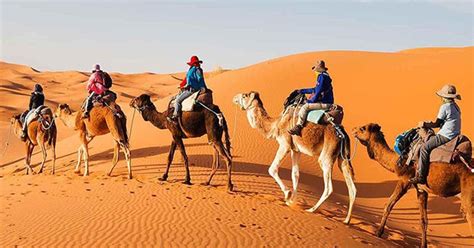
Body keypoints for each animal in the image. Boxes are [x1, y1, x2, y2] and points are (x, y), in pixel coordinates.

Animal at [233, 92, 356, 224]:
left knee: (329, 187)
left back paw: (311, 209)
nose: (234, 98)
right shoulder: (296, 150)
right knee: (352, 188)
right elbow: (295, 174)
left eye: (244, 95)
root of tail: (343, 134)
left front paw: (287, 195)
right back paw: (346, 220)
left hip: (327, 155)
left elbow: (272, 169)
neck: (276, 124)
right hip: (343, 158)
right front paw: (292, 201)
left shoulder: (285, 145)